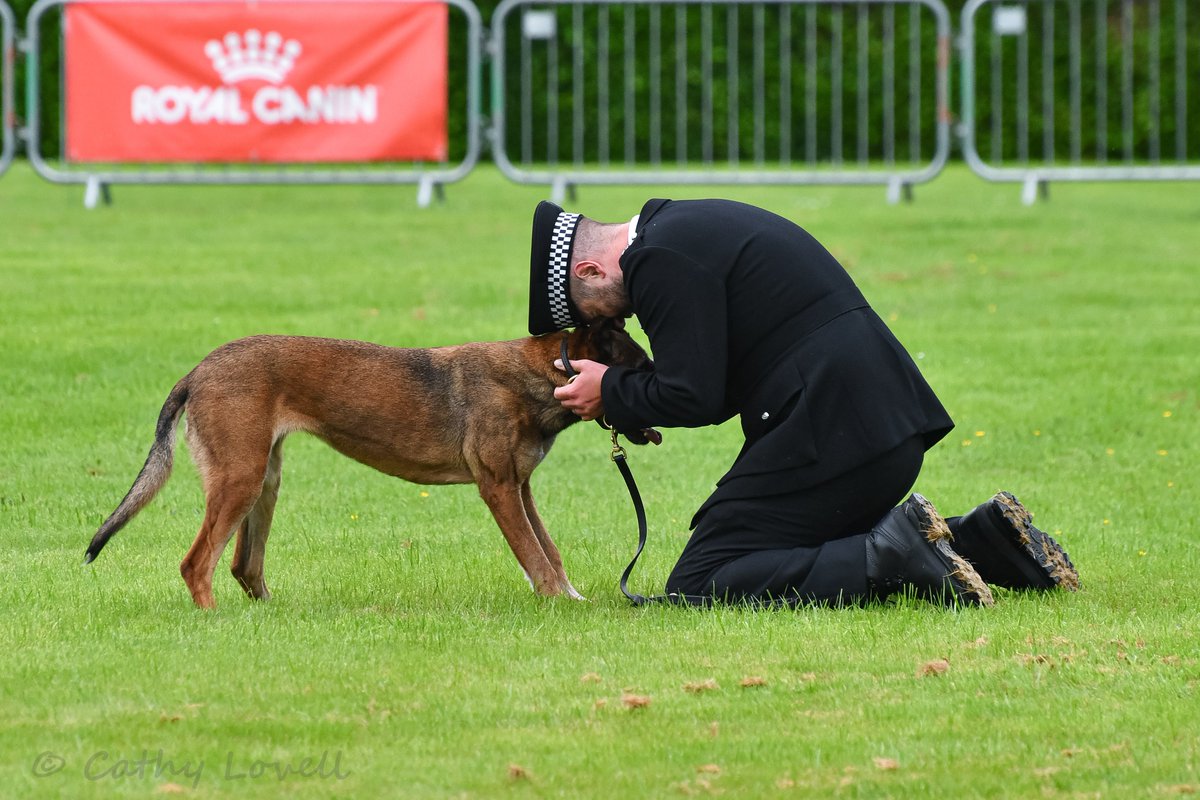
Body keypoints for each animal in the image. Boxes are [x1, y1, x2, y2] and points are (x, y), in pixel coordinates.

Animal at [84, 319, 657, 606]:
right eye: (640, 366)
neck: (544, 371)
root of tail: (197, 372)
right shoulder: (498, 488)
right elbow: (536, 557)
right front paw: (559, 605)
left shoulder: (521, 488)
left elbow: (550, 551)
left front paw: (570, 596)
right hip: (240, 480)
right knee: (197, 563)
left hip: (263, 480)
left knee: (243, 565)